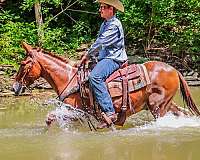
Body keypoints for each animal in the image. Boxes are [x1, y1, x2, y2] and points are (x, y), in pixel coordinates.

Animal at [12, 42, 200, 129]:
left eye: (23, 64)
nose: (14, 87)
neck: (68, 78)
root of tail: (174, 69)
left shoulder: (77, 111)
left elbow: (51, 118)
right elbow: (51, 119)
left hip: (157, 106)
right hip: (166, 104)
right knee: (182, 113)